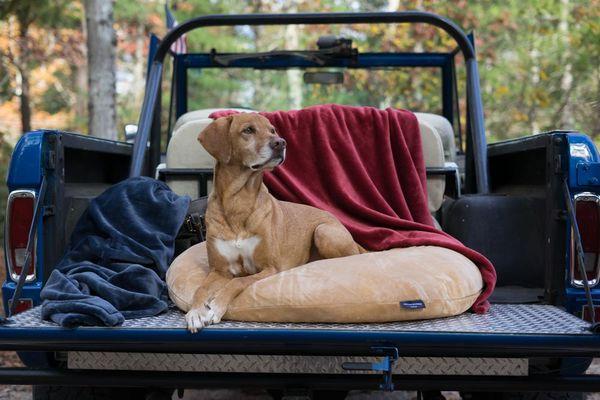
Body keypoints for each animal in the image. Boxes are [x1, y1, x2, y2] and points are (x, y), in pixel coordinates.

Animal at [188, 111, 364, 332]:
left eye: (272, 130)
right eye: (248, 130)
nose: (281, 142)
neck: (239, 200)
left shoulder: (269, 268)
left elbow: (237, 283)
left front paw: (217, 305)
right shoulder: (219, 270)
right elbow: (200, 289)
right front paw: (195, 312)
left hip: (324, 231)